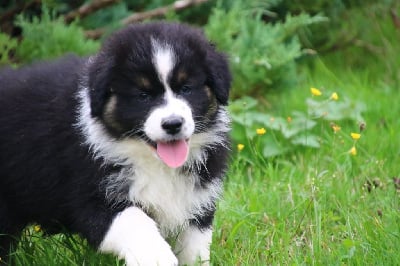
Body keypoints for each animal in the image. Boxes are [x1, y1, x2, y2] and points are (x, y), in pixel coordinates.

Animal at [0, 21, 231, 264]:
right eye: (143, 95)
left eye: (186, 88)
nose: (173, 124)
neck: (151, 161)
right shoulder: (90, 193)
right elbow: (133, 218)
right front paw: (156, 256)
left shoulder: (197, 196)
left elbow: (195, 244)